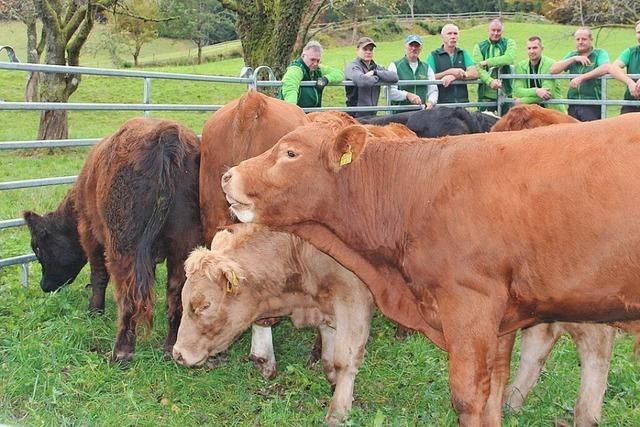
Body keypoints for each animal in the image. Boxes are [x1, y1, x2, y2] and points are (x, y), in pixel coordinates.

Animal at [23, 118, 201, 362]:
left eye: (38, 249)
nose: (44, 286)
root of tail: (166, 133)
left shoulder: (90, 234)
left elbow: (98, 275)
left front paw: (94, 310)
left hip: (124, 245)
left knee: (129, 296)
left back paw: (121, 352)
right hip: (182, 244)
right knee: (176, 293)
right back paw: (171, 347)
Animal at [175, 224, 376, 424]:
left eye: (205, 305)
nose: (178, 354)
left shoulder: (353, 297)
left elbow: (345, 359)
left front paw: (338, 413)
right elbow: (328, 355)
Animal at [221, 113, 640, 424]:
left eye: (290, 152)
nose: (228, 175)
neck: (415, 188)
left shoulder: (470, 306)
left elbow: (468, 398)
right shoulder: (502, 320)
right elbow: (492, 392)